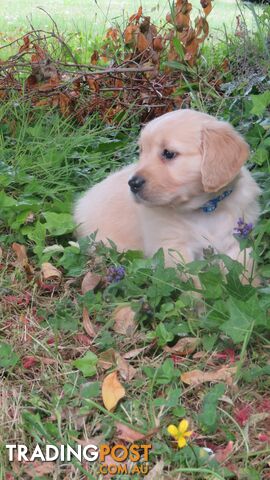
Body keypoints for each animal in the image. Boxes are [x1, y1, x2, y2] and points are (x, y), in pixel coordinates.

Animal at [73, 107, 260, 276]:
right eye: (141, 152)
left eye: (168, 153)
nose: (133, 183)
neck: (206, 209)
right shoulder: (173, 248)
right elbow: (191, 281)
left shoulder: (238, 241)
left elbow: (243, 272)